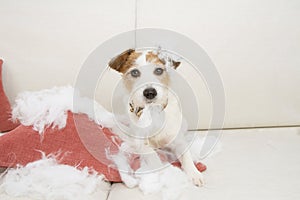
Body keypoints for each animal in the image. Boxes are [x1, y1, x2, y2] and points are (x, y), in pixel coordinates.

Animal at [108, 48, 204, 186]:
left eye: (158, 70)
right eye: (135, 72)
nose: (150, 92)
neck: (152, 112)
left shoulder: (178, 142)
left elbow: (186, 156)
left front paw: (194, 173)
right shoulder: (141, 144)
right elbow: (152, 153)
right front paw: (163, 171)